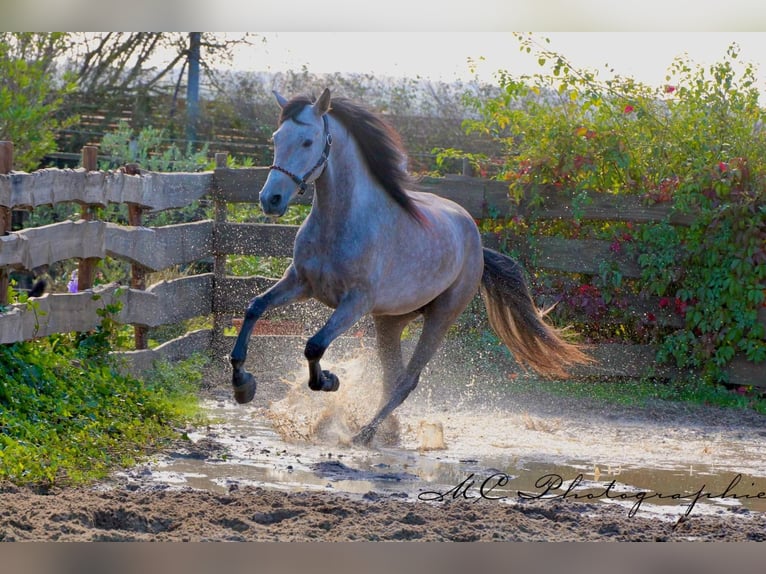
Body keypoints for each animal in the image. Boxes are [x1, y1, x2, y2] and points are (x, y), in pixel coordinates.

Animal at [229, 88, 592, 446]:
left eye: (307, 141)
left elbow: (314, 345)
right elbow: (254, 307)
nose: (270, 200)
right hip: (390, 320)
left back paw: (366, 433)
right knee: (391, 376)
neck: (341, 221)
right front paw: (243, 383)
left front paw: (330, 380)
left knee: (407, 379)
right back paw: (387, 430)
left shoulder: (355, 303)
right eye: (277, 138)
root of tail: (474, 240)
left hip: (441, 317)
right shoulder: (300, 283)